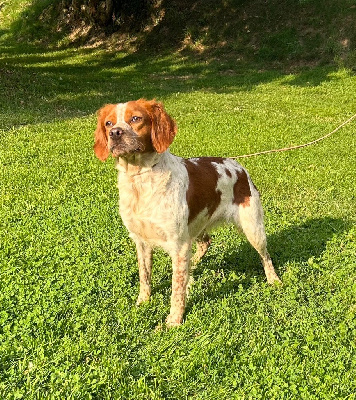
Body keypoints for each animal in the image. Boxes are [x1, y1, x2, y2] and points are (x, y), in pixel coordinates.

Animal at [94, 98, 280, 326]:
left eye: (136, 118)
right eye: (109, 123)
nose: (115, 133)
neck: (141, 179)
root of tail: (238, 166)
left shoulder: (178, 244)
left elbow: (177, 288)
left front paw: (174, 320)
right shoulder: (141, 240)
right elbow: (145, 277)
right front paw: (142, 302)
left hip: (253, 227)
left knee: (266, 256)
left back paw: (274, 280)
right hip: (196, 226)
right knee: (205, 242)